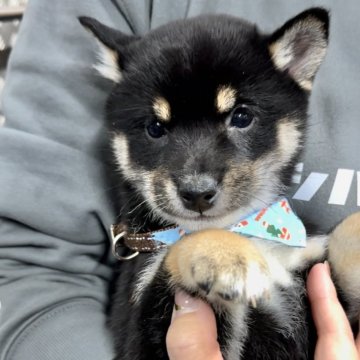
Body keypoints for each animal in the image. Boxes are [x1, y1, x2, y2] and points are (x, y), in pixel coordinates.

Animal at [81, 8, 360, 360]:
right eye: (155, 128)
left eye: (241, 117)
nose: (196, 193)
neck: (250, 232)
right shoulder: (143, 332)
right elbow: (182, 244)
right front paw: (223, 255)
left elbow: (343, 237)